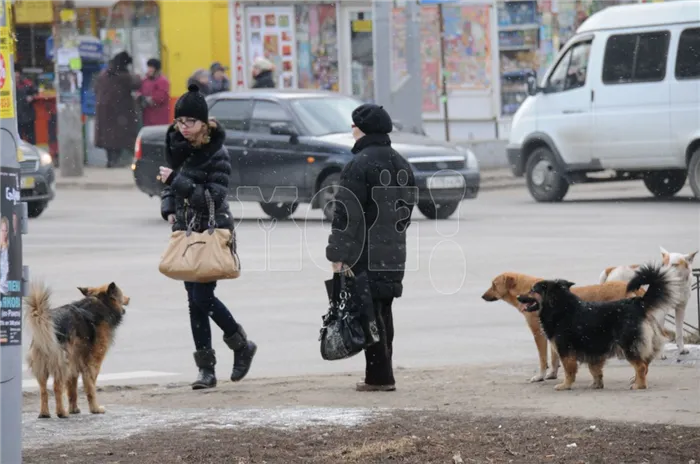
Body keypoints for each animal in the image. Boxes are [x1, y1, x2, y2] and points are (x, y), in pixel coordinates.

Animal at [25, 280, 129, 418]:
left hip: (44, 367)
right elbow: (90, 388)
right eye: (121, 294)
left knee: (43, 390)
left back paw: (44, 413)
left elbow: (72, 389)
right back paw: (61, 412)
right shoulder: (93, 363)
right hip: (62, 364)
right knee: (57, 387)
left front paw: (74, 409)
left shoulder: (74, 364)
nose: (129, 298)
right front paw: (95, 409)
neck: (101, 302)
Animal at [484, 270, 644, 382]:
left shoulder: (539, 334)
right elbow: (555, 358)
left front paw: (540, 376)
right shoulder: (552, 334)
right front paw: (552, 374)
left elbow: (543, 359)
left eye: (493, 285)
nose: (482, 296)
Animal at [516, 264, 680, 392]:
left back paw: (639, 385)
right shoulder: (593, 350)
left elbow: (569, 370)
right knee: (645, 364)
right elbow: (595, 369)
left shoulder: (566, 350)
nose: (518, 297)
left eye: (532, 290)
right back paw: (636, 381)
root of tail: (637, 303)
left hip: (628, 345)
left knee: (641, 366)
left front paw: (565, 385)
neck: (559, 308)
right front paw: (597, 384)